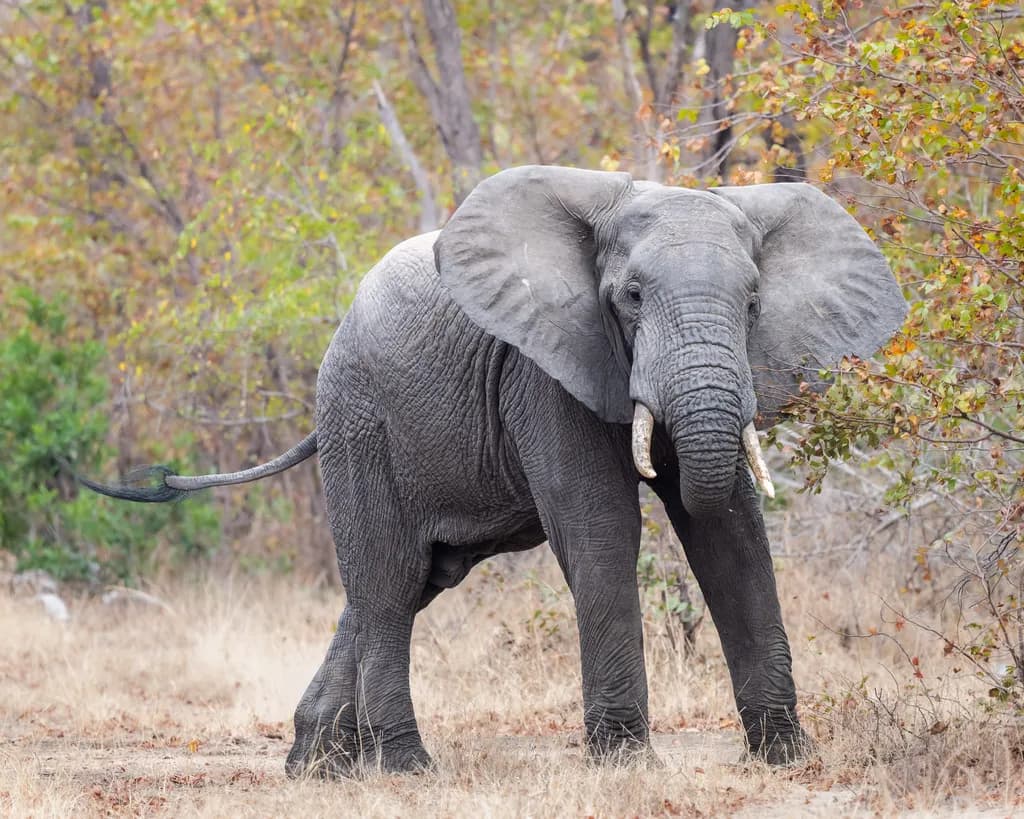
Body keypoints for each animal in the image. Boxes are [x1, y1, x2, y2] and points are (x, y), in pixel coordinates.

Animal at [82, 166, 906, 776]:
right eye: (632, 297)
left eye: (754, 302)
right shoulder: (541, 366)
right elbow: (600, 525)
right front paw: (625, 766)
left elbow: (731, 531)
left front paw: (788, 760)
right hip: (359, 418)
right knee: (388, 581)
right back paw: (406, 768)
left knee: (399, 584)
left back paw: (319, 767)